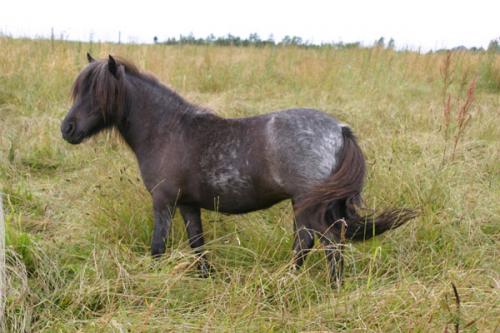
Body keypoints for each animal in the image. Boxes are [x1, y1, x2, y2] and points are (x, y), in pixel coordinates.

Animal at [61, 53, 414, 284]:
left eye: (98, 93)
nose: (67, 129)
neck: (168, 130)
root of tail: (339, 129)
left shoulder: (163, 202)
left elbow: (158, 246)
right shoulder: (188, 205)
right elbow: (197, 243)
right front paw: (205, 277)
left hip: (310, 205)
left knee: (328, 242)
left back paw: (328, 286)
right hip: (309, 205)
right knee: (308, 242)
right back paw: (287, 279)